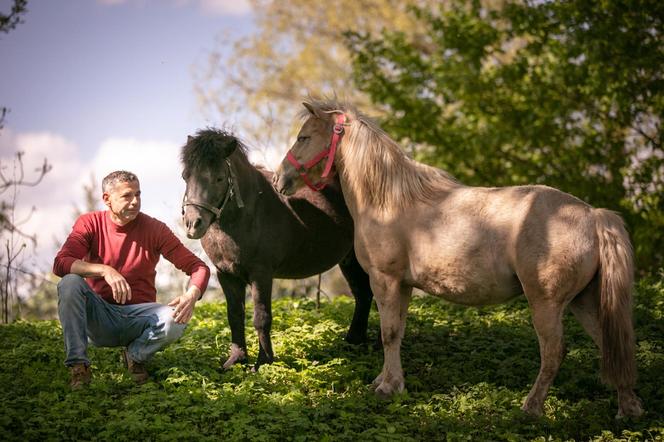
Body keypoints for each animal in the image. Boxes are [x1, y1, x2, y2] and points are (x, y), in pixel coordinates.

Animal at [182, 128, 374, 370]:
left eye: (219, 178)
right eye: (185, 176)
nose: (193, 224)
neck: (248, 214)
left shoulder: (261, 273)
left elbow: (261, 317)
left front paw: (263, 363)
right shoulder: (226, 274)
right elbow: (234, 315)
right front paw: (236, 360)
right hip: (349, 259)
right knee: (363, 295)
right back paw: (353, 343)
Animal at [272, 99, 640, 418]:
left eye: (304, 137)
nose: (279, 179)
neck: (388, 201)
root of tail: (593, 216)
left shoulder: (384, 280)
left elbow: (388, 333)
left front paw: (388, 388)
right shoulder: (403, 286)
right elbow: (397, 331)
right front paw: (388, 380)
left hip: (547, 304)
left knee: (554, 352)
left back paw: (531, 407)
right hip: (584, 300)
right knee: (613, 345)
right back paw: (628, 409)